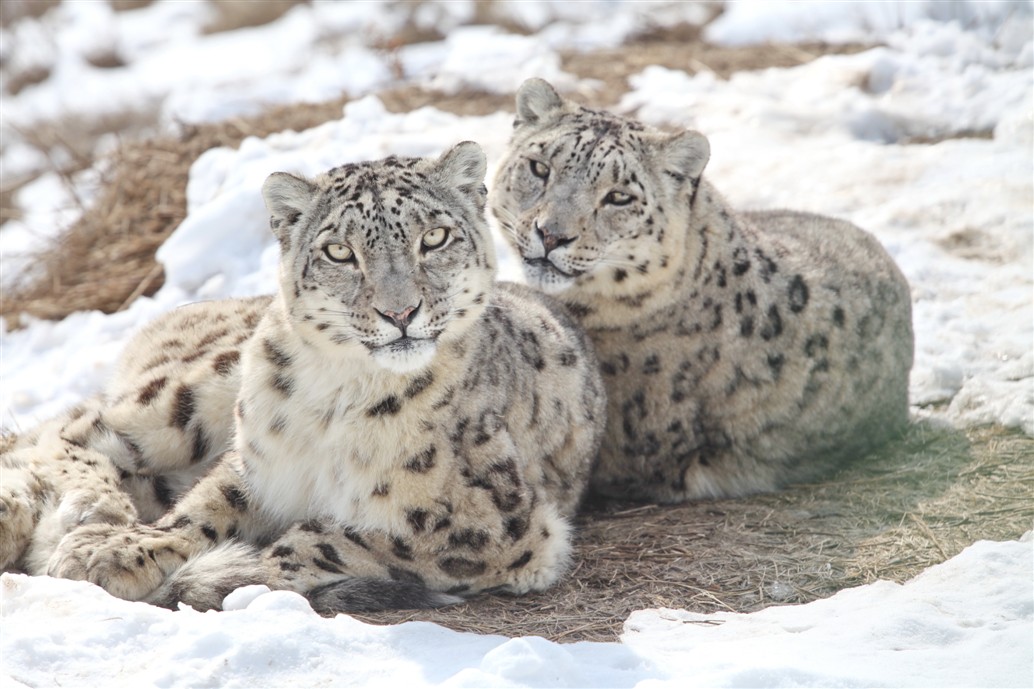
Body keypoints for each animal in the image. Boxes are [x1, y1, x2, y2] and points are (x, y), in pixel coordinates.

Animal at [1, 141, 607, 613]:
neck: (338, 399)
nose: (400, 312)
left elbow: (321, 540)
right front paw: (114, 552)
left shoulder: (491, 524)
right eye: (340, 251)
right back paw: (87, 514)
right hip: (193, 397)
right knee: (73, 429)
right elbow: (200, 510)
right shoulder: (258, 463)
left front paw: (236, 572)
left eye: (433, 238)